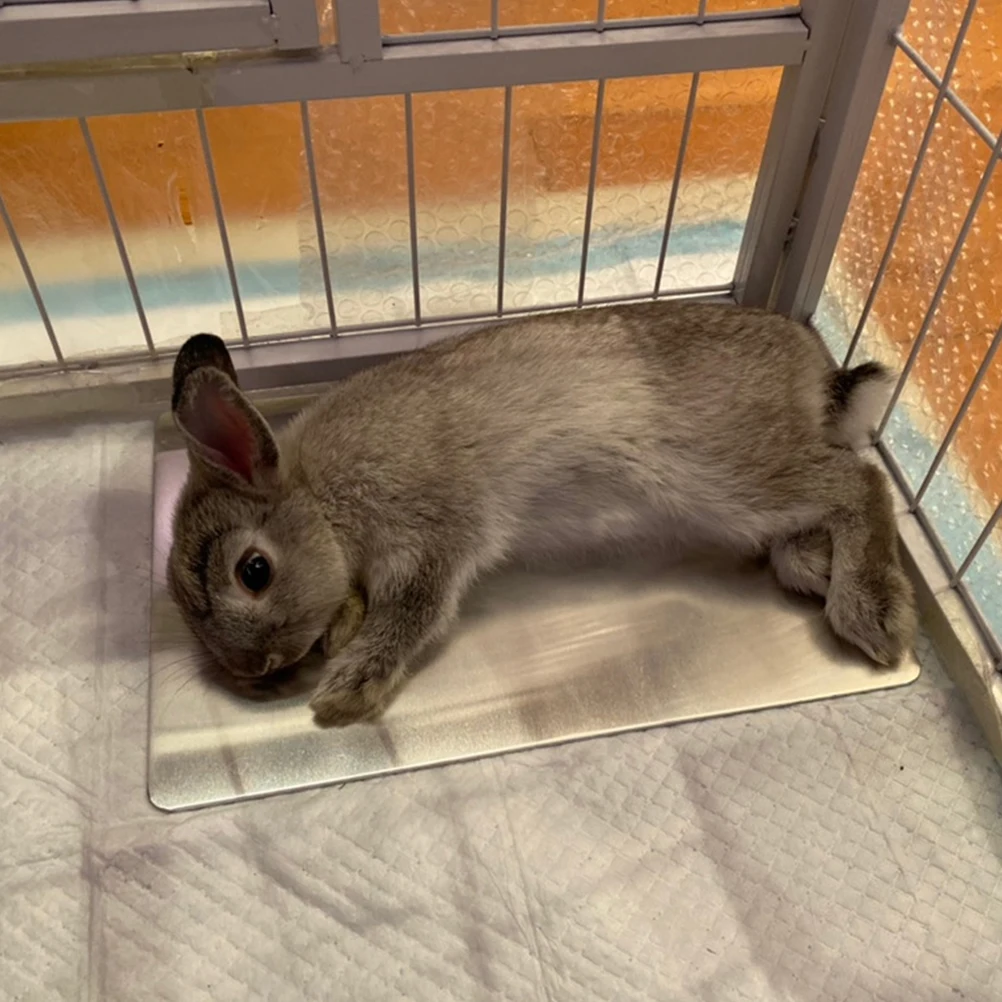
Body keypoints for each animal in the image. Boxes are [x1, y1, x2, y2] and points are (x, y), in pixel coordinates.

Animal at [166, 302, 917, 725]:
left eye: (254, 571)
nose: (252, 670)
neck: (318, 497)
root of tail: (815, 370)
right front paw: (339, 635)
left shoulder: (430, 536)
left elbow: (413, 613)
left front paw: (346, 690)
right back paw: (814, 564)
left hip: (726, 473)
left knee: (859, 480)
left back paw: (872, 610)